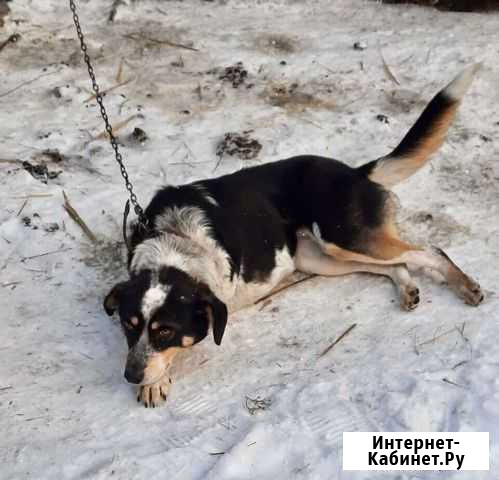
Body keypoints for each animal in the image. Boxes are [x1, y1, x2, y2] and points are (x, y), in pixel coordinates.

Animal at [104, 64, 484, 408]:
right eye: (128, 325)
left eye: (165, 330)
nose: (129, 376)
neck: (176, 239)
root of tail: (355, 172)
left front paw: (153, 382)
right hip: (321, 258)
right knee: (396, 263)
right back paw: (407, 289)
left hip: (341, 236)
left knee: (430, 250)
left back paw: (465, 285)